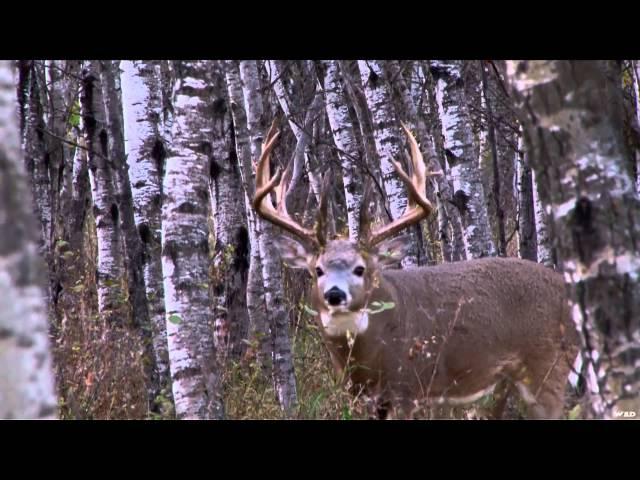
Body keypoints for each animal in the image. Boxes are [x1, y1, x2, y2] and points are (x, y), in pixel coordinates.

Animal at [254, 118, 580, 418]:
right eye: (318, 270)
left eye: (360, 269)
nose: (335, 294)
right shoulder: (361, 398)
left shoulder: (408, 388)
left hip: (548, 365)